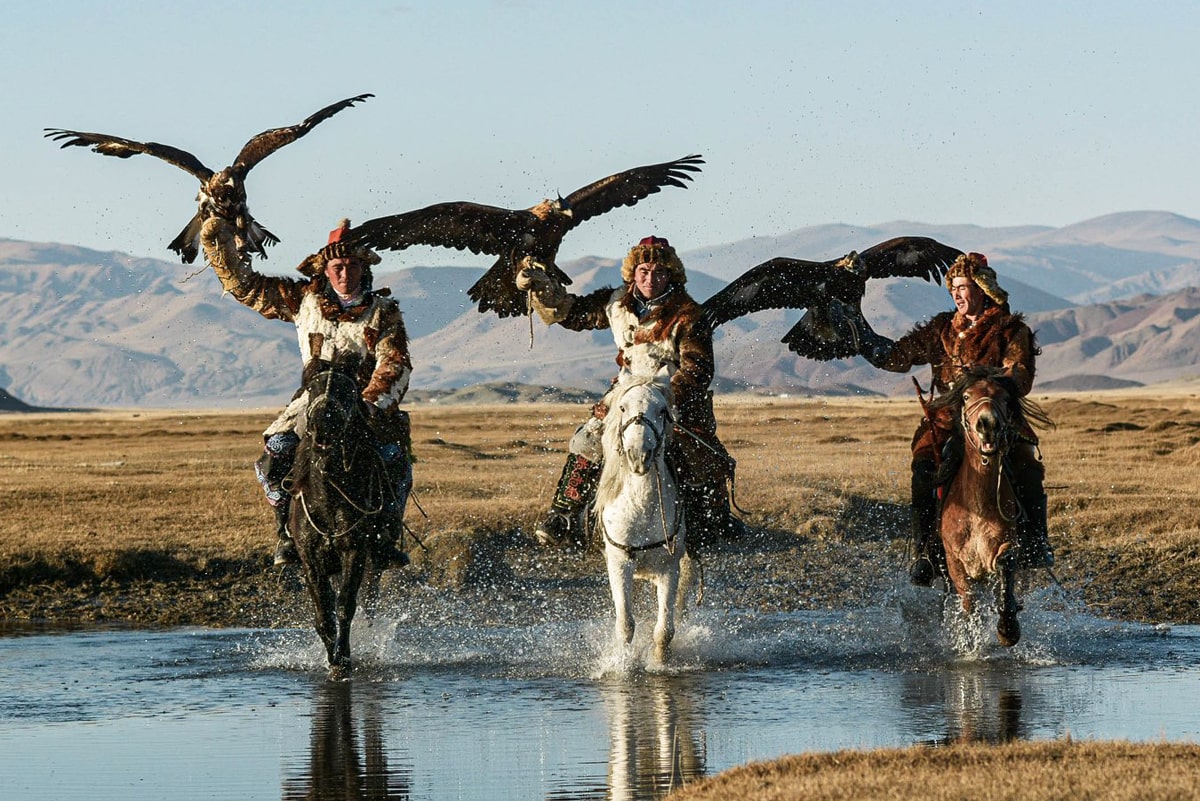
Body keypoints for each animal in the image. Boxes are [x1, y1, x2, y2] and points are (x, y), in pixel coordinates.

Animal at [285, 357, 388, 676]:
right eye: (311, 387)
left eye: (348, 389)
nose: (323, 423)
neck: (329, 497)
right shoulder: (310, 560)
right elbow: (324, 614)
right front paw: (332, 656)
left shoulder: (354, 552)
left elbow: (345, 606)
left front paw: (343, 659)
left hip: (373, 563)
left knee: (369, 603)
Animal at [592, 371, 696, 661]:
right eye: (622, 407)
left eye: (662, 410)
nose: (639, 456)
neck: (640, 509)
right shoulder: (619, 564)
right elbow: (626, 624)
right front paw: (624, 663)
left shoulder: (668, 568)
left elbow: (664, 630)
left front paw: (659, 663)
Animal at [926, 366, 1051, 647]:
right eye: (966, 397)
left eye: (1005, 398)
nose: (988, 424)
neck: (978, 507)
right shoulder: (955, 562)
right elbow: (969, 602)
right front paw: (969, 640)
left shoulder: (1006, 545)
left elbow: (1006, 566)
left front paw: (1008, 628)